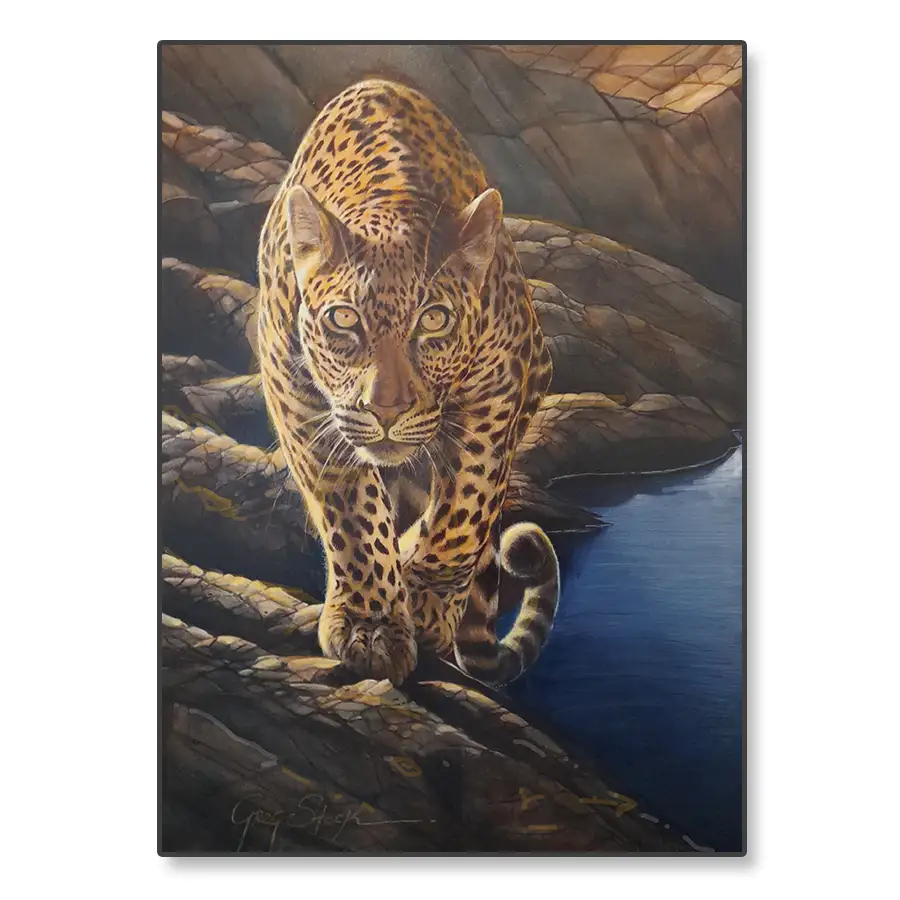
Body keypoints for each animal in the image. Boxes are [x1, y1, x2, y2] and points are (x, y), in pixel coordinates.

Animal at [257, 78, 559, 685]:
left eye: (435, 321)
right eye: (344, 320)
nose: (387, 409)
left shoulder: (503, 382)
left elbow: (468, 500)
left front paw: (426, 602)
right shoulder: (293, 386)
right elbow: (350, 506)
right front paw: (370, 624)